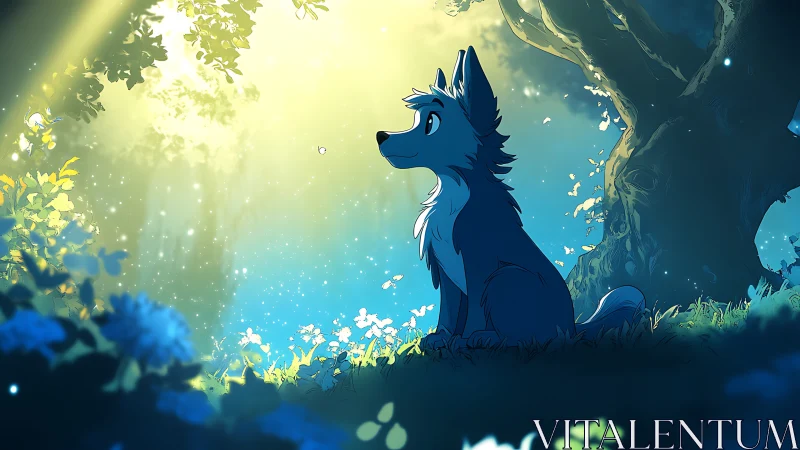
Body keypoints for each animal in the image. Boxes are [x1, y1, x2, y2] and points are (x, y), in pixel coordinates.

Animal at [376, 46, 645, 350]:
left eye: (431, 123)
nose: (381, 136)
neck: (455, 191)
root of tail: (572, 328)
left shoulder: (479, 265)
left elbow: (474, 313)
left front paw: (464, 340)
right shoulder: (446, 274)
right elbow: (448, 310)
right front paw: (440, 338)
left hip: (506, 278)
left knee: (530, 338)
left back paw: (488, 337)